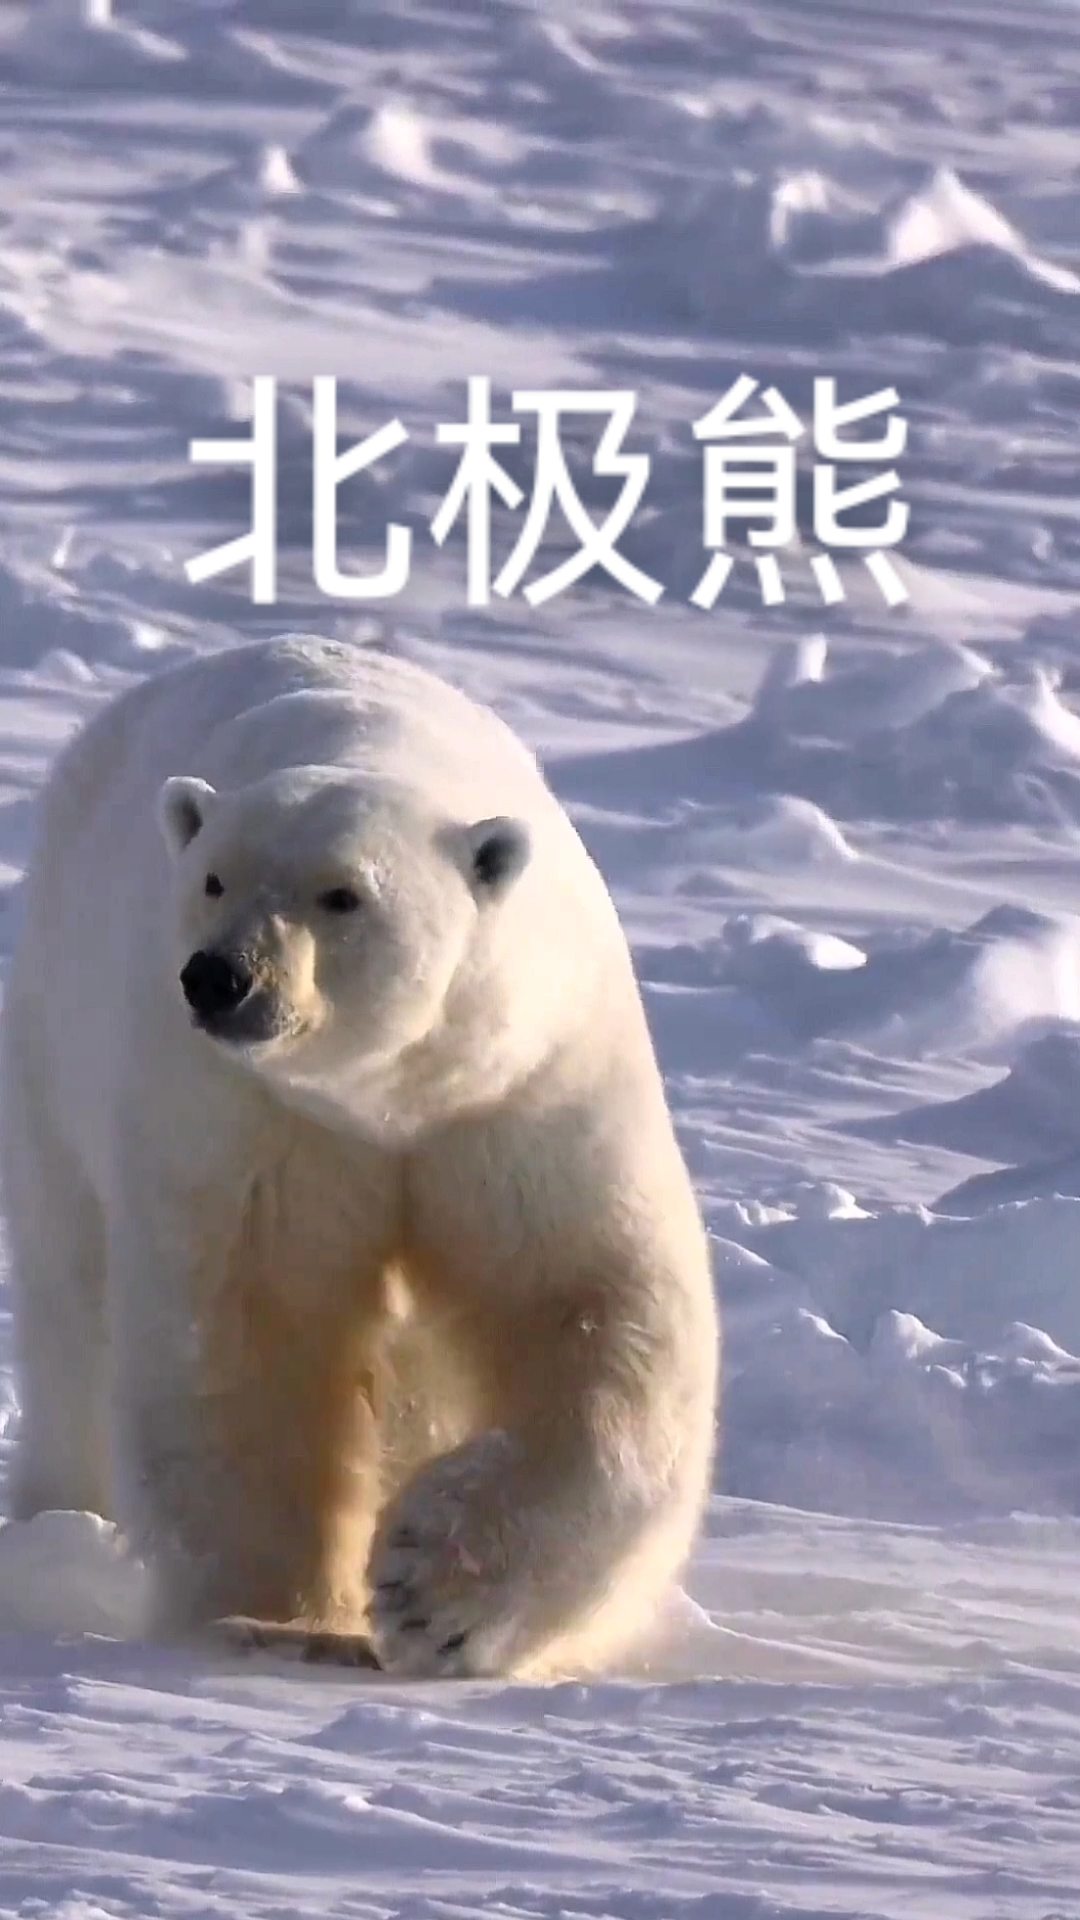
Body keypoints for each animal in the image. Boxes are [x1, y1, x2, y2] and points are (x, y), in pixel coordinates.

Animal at [0, 636, 718, 1679]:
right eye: (214, 879)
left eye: (343, 895)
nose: (219, 978)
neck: (387, 1094)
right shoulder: (256, 1124)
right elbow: (255, 1331)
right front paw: (272, 1616)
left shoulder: (520, 1094)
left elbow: (587, 1305)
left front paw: (431, 1597)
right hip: (56, 1045)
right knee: (70, 1304)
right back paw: (56, 1524)